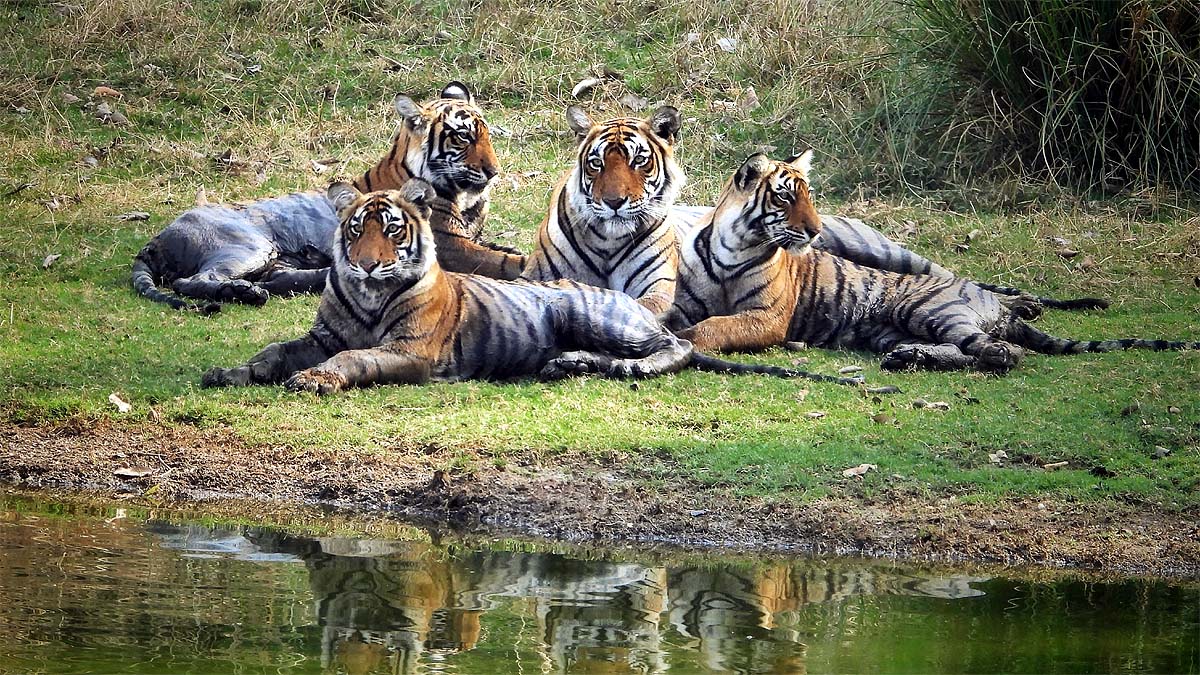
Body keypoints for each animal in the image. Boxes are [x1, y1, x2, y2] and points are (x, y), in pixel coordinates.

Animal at [131, 82, 523, 313]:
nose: (494, 172)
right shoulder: (451, 245)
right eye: (462, 137)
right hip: (247, 245)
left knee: (279, 279)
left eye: (486, 134)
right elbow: (499, 261)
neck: (464, 198)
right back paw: (241, 293)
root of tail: (157, 238)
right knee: (191, 281)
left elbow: (500, 248)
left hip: (274, 261)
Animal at [201, 180, 859, 394]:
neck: (364, 297)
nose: (364, 266)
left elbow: (353, 358)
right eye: (355, 229)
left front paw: (314, 380)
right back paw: (567, 365)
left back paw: (611, 366)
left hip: (596, 315)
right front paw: (232, 372)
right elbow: (276, 350)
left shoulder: (409, 352)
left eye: (391, 231)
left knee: (675, 347)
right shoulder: (319, 334)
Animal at [520, 105, 689, 319]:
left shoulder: (660, 287)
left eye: (639, 160)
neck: (608, 240)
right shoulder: (534, 275)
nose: (613, 202)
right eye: (597, 163)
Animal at [665, 152, 1198, 373]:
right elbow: (682, 315)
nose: (815, 231)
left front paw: (687, 339)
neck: (735, 244)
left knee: (999, 347)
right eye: (784, 196)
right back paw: (911, 357)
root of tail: (995, 309)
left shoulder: (768, 317)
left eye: (809, 196)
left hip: (925, 301)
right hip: (892, 327)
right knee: (967, 350)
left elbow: (714, 326)